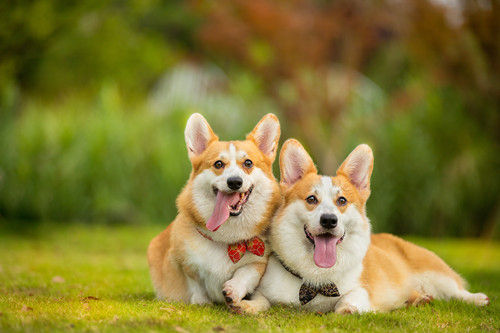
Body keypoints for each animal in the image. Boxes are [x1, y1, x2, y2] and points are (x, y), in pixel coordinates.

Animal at [147, 113, 282, 310]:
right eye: (218, 164)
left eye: (248, 163)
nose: (234, 182)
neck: (227, 240)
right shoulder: (183, 262)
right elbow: (195, 282)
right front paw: (201, 301)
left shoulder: (260, 262)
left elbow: (246, 272)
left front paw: (234, 291)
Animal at [236, 138, 490, 314]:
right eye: (311, 199)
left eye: (342, 201)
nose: (329, 220)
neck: (316, 280)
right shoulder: (265, 290)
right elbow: (260, 300)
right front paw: (245, 305)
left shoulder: (361, 289)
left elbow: (350, 298)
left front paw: (346, 309)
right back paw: (418, 299)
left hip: (436, 274)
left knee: (457, 291)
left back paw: (476, 298)